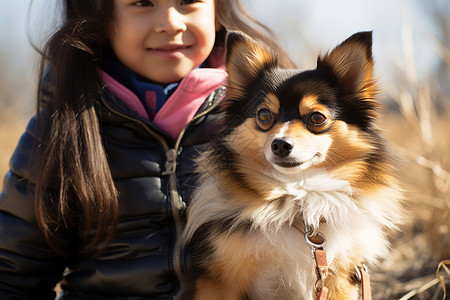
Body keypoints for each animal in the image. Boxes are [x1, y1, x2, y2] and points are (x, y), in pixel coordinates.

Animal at [181, 31, 402, 300]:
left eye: (317, 118)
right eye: (264, 115)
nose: (280, 144)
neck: (297, 198)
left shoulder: (340, 277)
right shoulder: (219, 280)